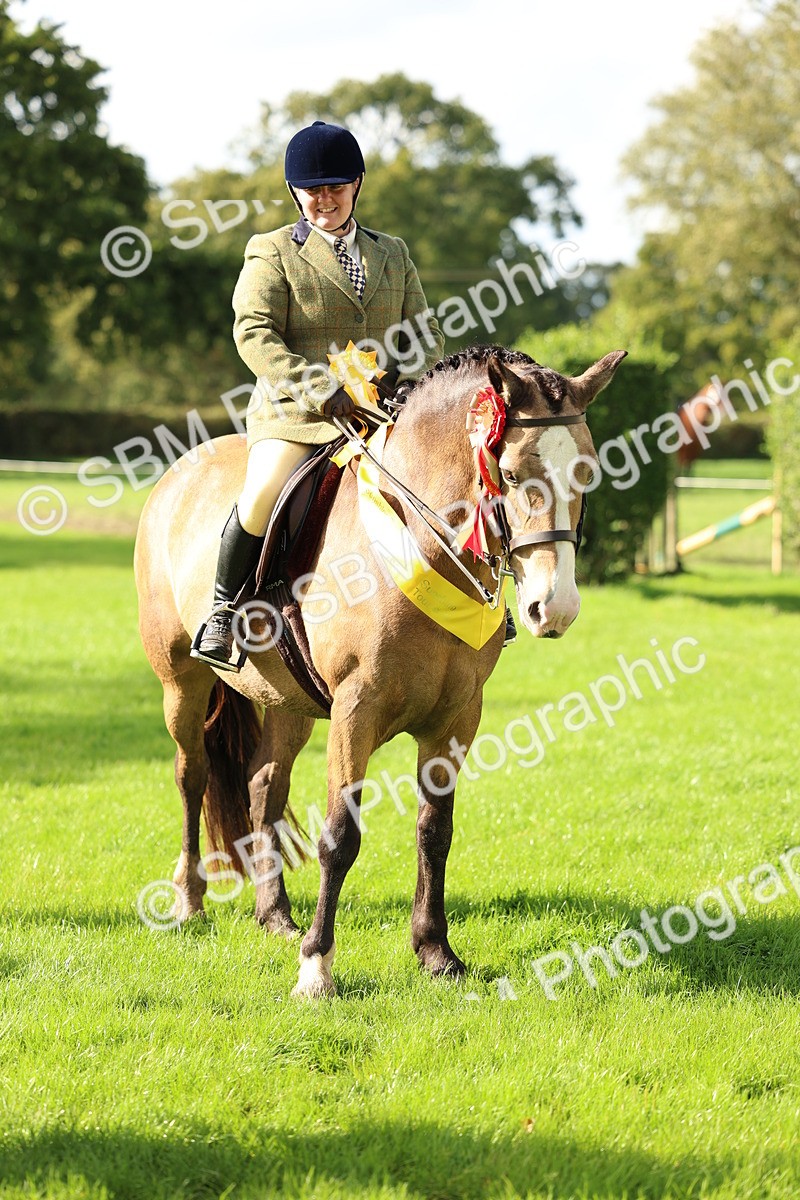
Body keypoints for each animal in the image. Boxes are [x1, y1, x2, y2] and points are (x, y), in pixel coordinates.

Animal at [133, 344, 626, 998]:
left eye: (587, 474)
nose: (557, 608)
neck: (423, 543)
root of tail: (181, 470)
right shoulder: (355, 710)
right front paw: (316, 969)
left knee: (264, 786)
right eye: (515, 474)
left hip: (290, 700)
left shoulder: (456, 717)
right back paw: (191, 901)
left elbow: (435, 832)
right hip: (181, 684)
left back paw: (276, 916)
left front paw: (436, 953)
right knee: (192, 776)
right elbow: (340, 837)